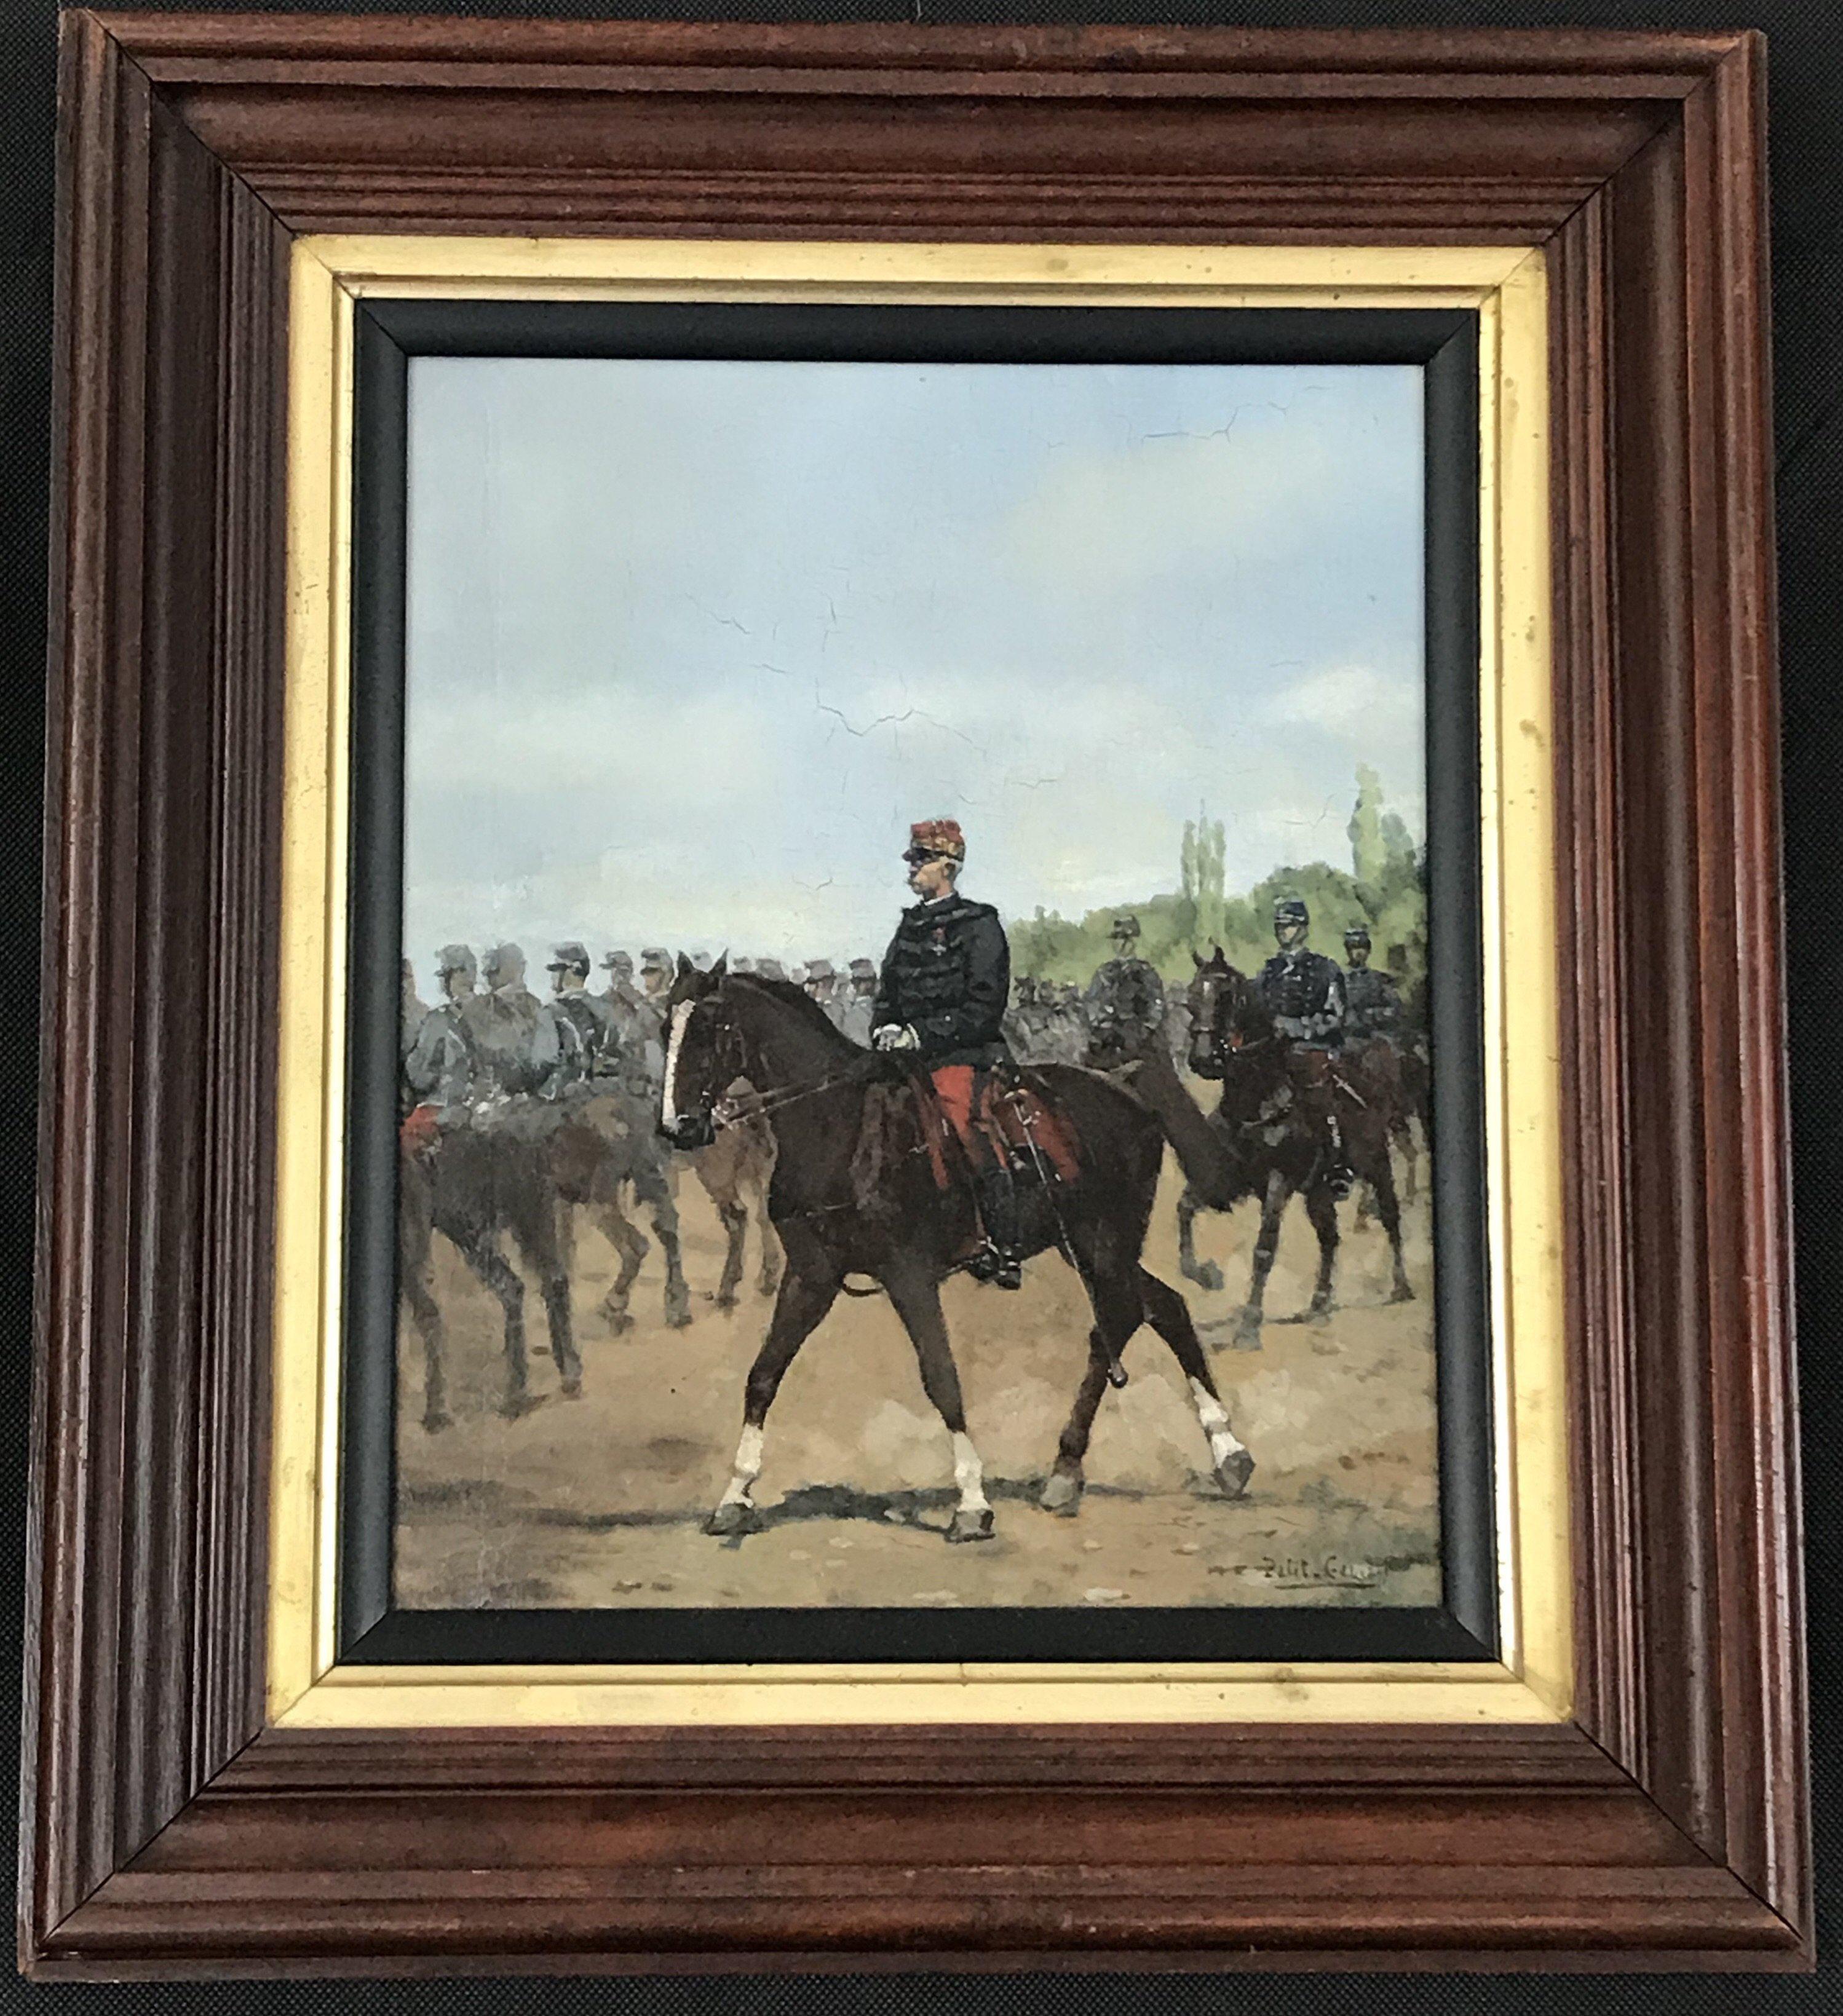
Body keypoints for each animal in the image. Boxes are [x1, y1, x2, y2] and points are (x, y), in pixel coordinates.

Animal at [657, 959, 1250, 1540]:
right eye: (666, 1029)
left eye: (708, 1030)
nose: (677, 1128)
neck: (841, 1131)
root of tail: (1125, 1091)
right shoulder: (811, 1276)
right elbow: (763, 1375)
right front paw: (735, 1495)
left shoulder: (909, 1275)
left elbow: (941, 1377)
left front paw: (972, 1501)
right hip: (1090, 1248)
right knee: (1158, 1307)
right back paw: (1200, 1457)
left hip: (1102, 1244)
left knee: (1124, 1317)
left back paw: (1119, 1463)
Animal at [1153, 951, 1411, 1346]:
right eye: (1192, 1000)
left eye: (1226, 997)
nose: (1202, 1059)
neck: (1258, 1098)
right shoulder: (1230, 1179)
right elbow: (1184, 1210)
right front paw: (1206, 1274)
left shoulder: (1279, 1182)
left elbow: (1264, 1248)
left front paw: (1249, 1324)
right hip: (1318, 1190)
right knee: (1329, 1237)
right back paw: (1319, 1303)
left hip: (1376, 1162)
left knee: (1391, 1216)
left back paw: (1400, 1285)